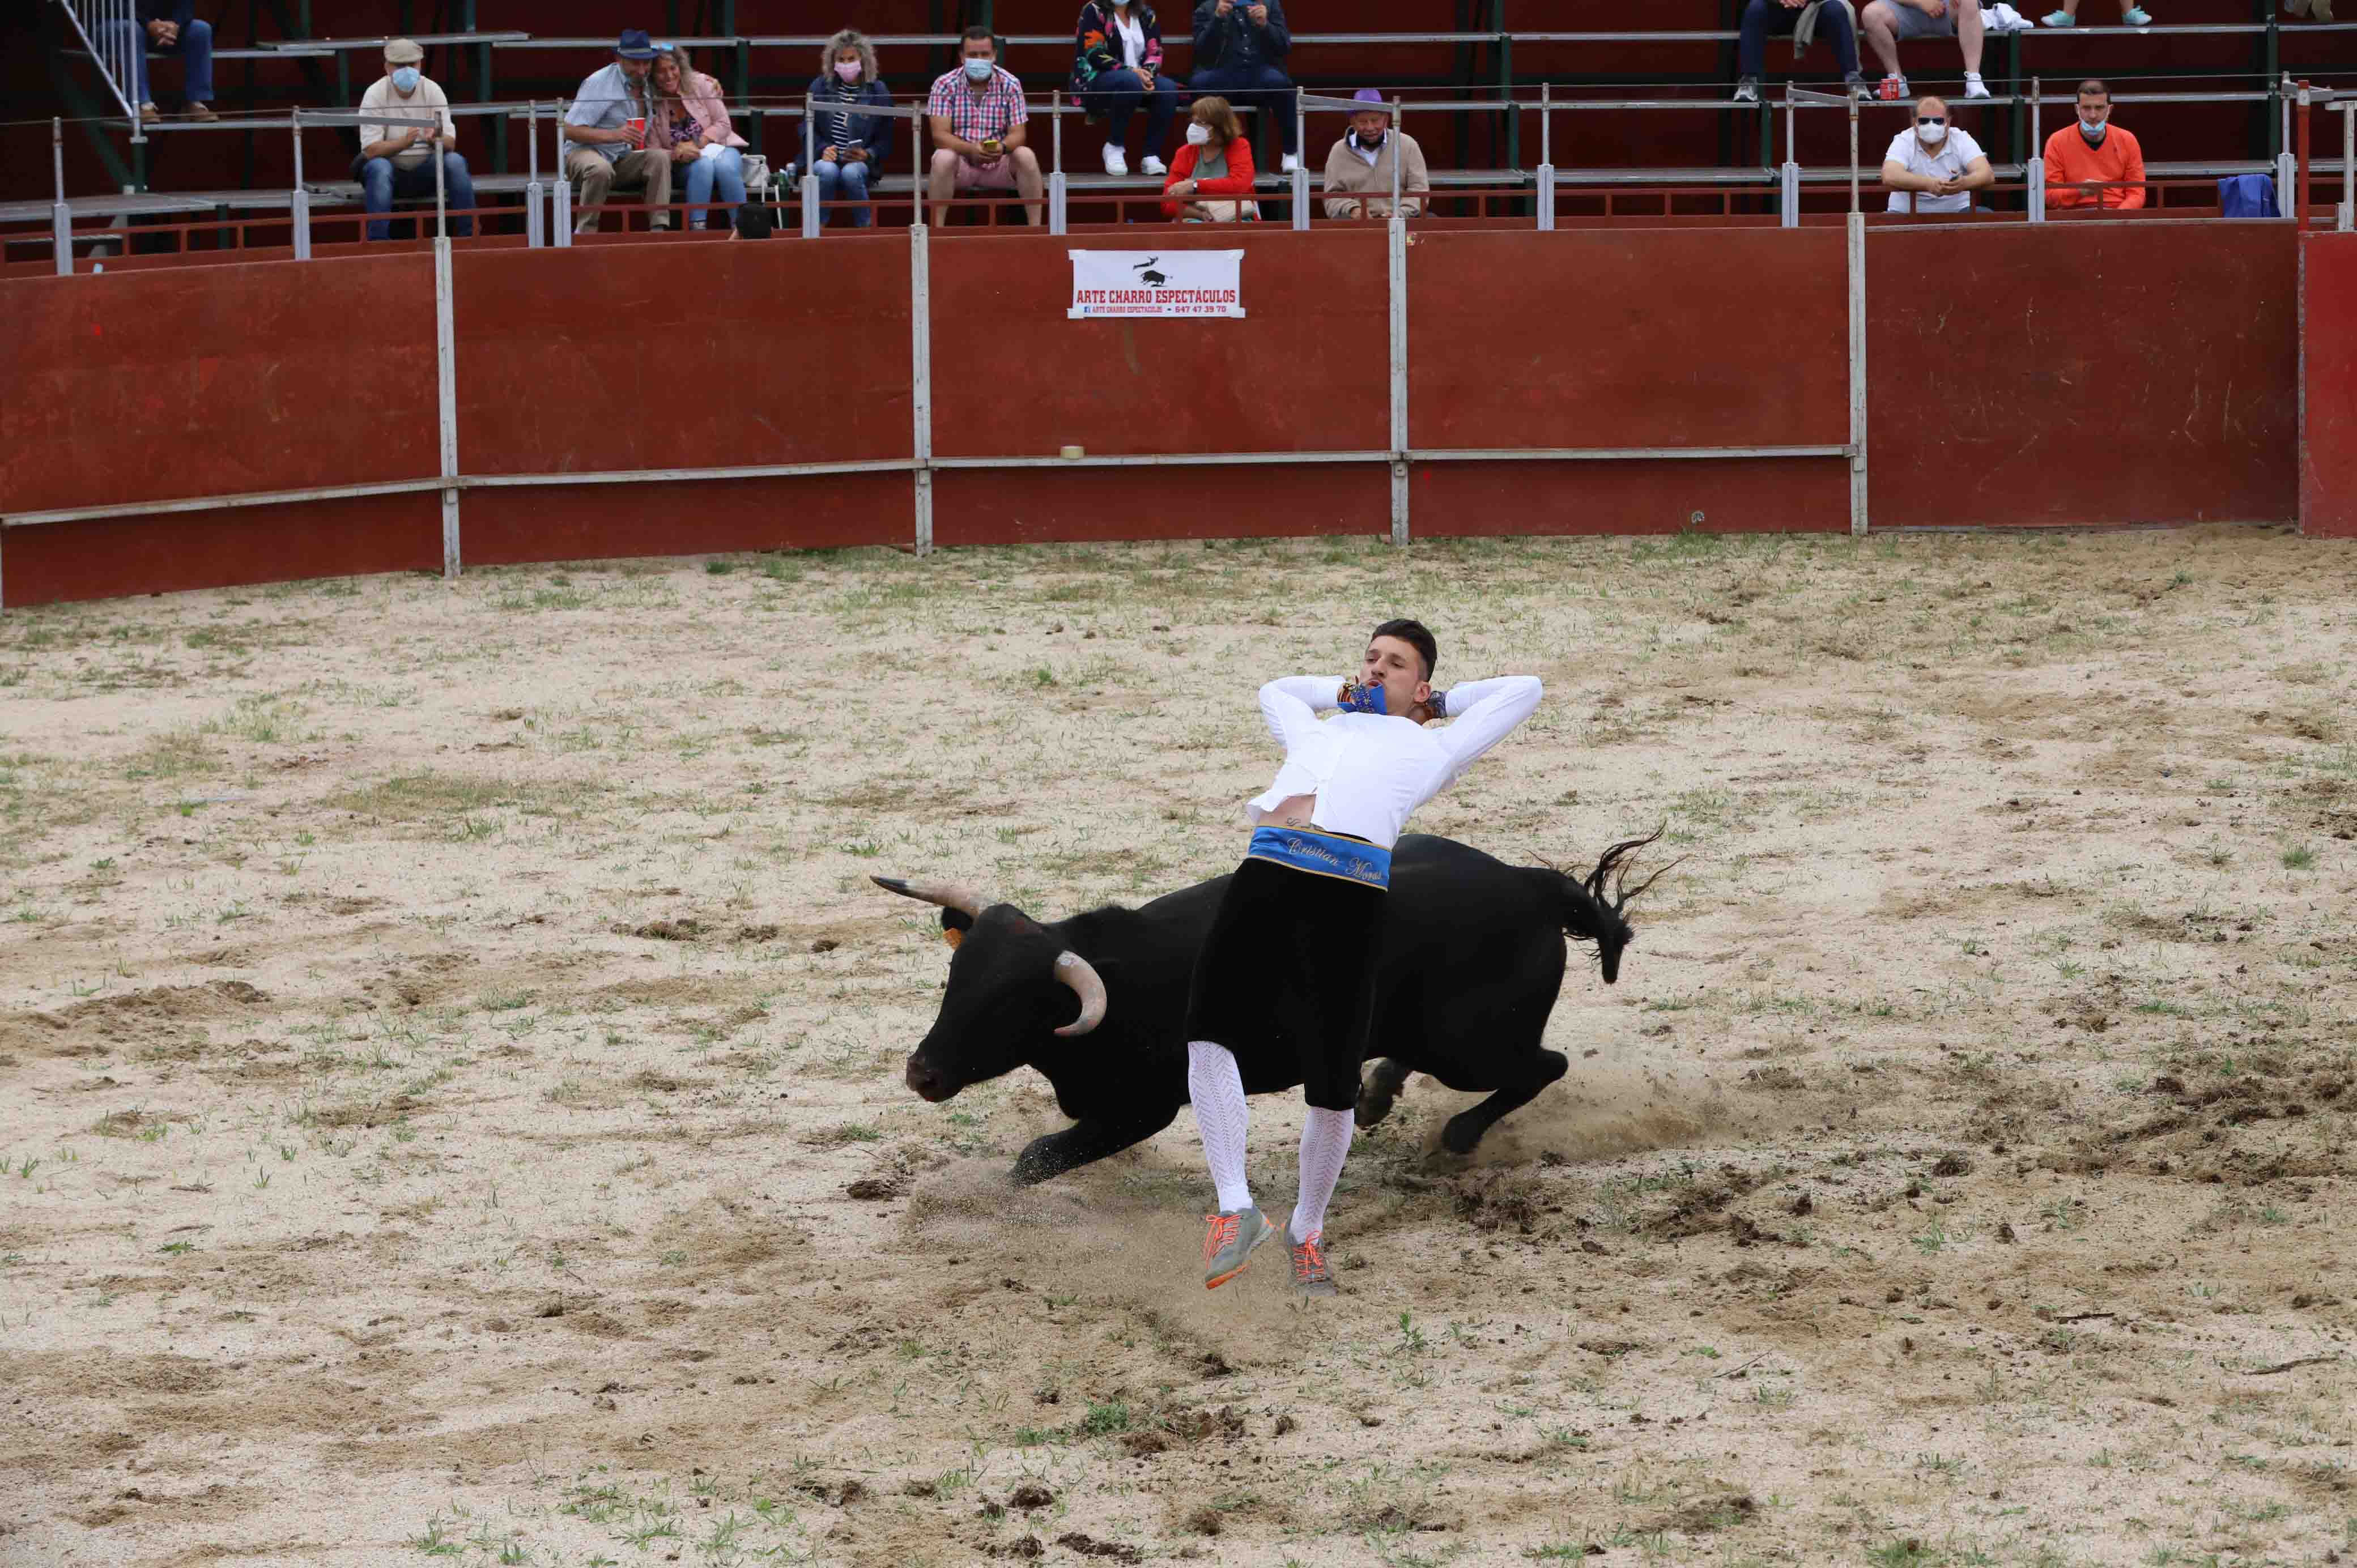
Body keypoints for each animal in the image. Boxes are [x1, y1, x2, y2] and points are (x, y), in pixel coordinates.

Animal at [877, 830, 1669, 1188]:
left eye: (1014, 1005)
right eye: (954, 978)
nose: (921, 1073)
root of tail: (1529, 885)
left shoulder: (1144, 1109)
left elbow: (1034, 1160)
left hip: (1469, 1046)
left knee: (1543, 1065)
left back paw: (1457, 1134)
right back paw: (1376, 1094)